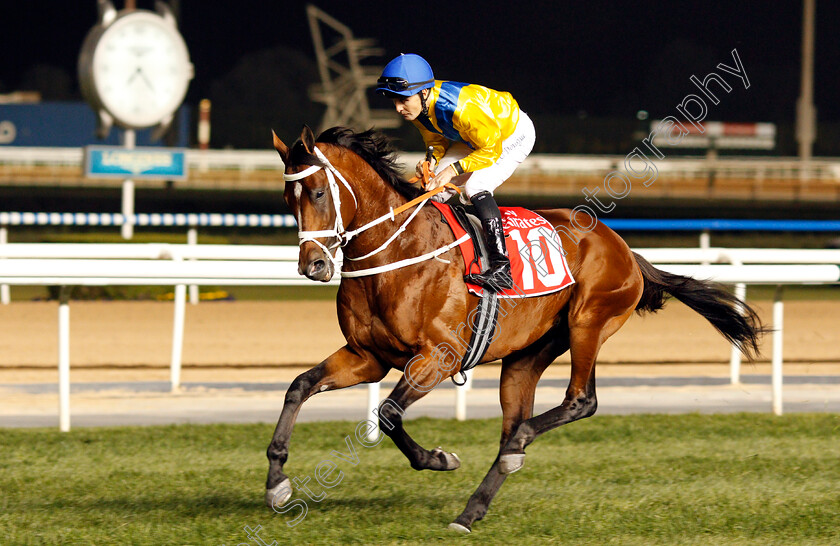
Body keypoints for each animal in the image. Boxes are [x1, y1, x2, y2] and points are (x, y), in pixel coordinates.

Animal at [266, 124, 764, 532]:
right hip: (528, 353)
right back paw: (473, 509)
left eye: (317, 193)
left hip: (588, 322)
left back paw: (514, 450)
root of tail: (623, 247)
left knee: (578, 402)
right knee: (514, 425)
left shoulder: (437, 358)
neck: (398, 253)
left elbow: (388, 413)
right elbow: (299, 386)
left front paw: (439, 458)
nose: (313, 265)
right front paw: (276, 482)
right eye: (287, 199)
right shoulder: (367, 357)